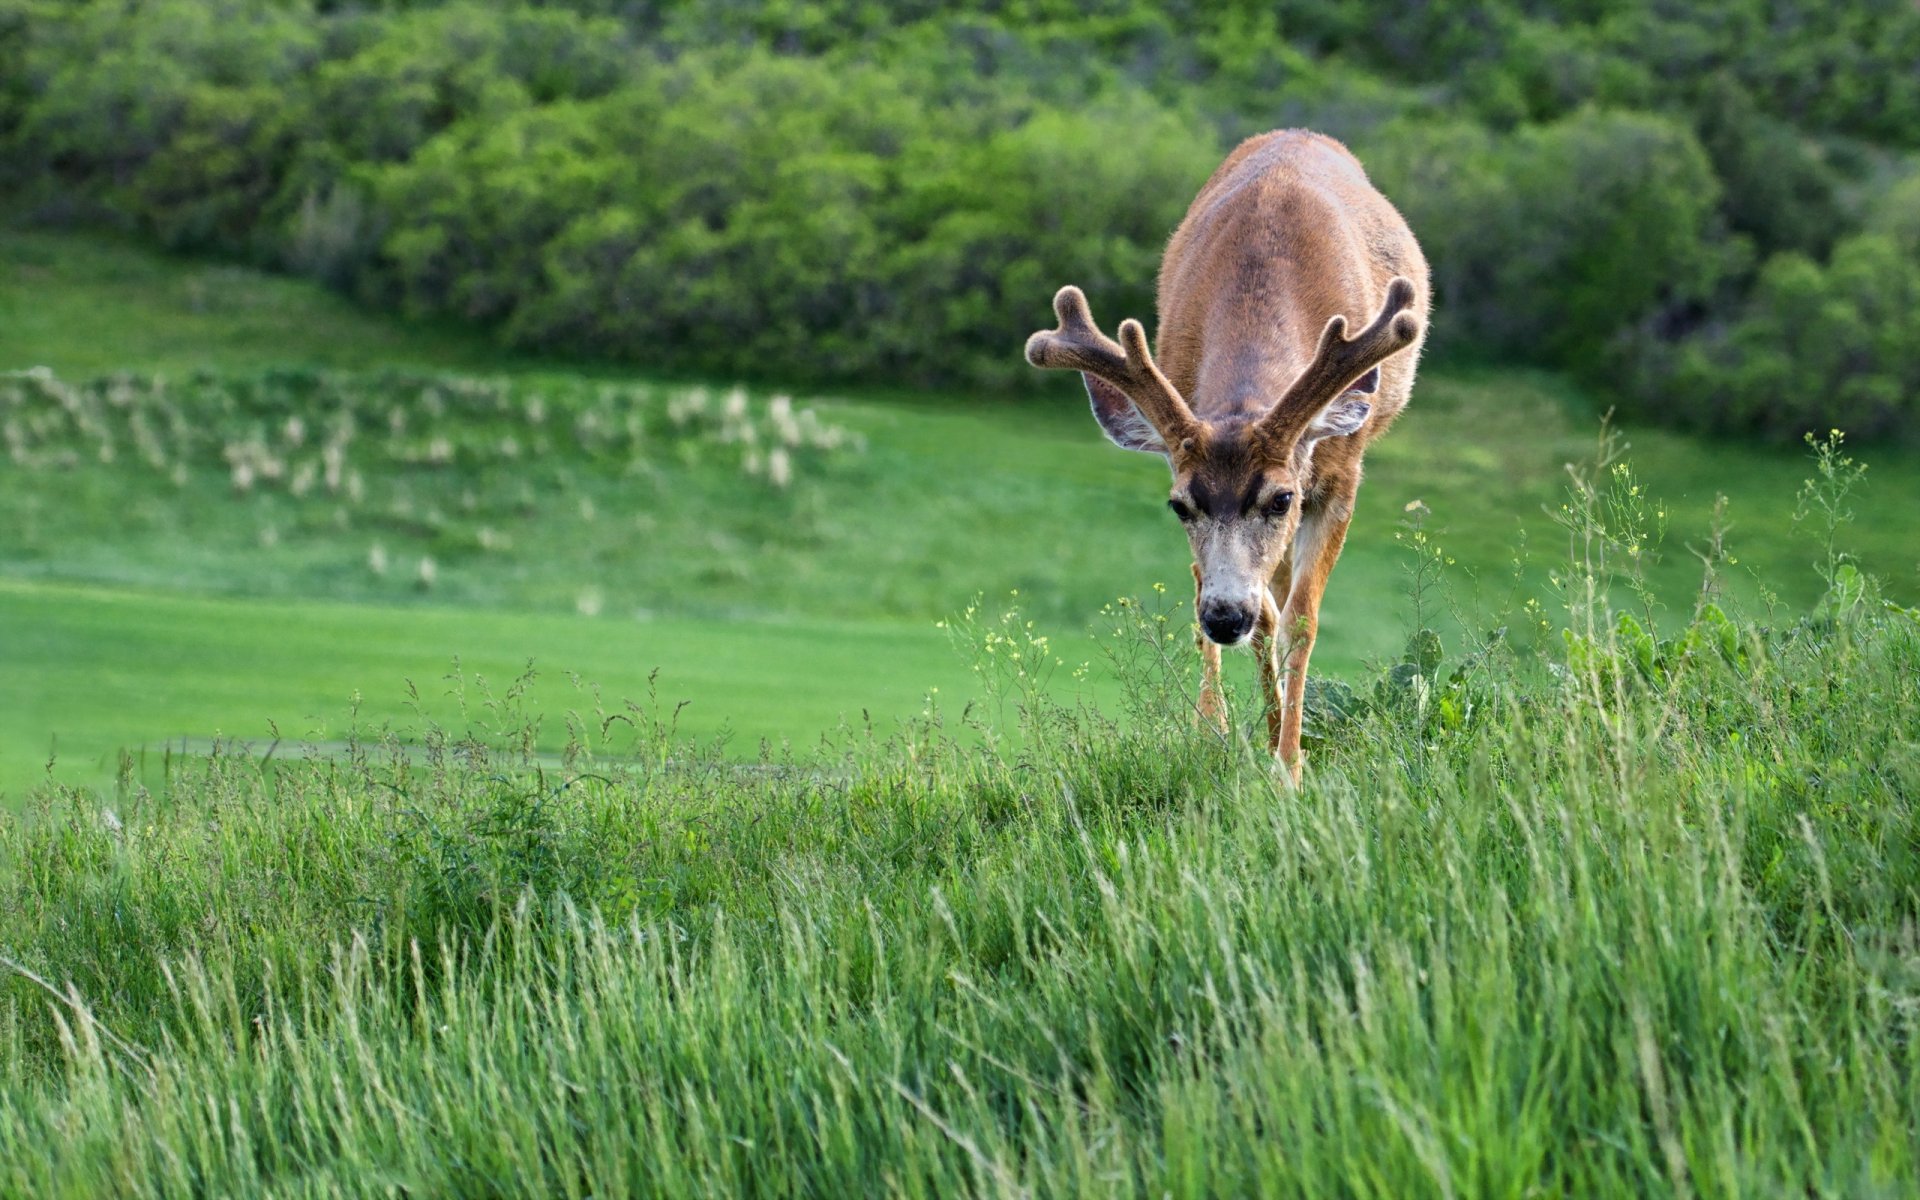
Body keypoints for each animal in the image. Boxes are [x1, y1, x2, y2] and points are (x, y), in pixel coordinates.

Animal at [1024, 129, 1429, 782]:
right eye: (1178, 505)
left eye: (1281, 496)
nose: (1223, 616)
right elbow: (1262, 615)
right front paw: (1229, 733)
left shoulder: (1339, 475)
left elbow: (1301, 621)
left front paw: (1290, 767)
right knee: (1261, 599)